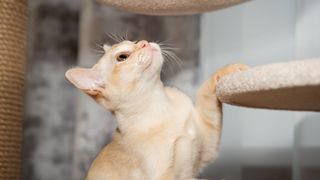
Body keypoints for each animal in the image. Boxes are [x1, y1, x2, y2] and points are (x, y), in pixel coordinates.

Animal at [65, 40, 248, 179]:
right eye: (122, 57)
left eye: (135, 41)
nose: (144, 42)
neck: (161, 105)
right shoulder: (167, 176)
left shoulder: (207, 147)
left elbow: (205, 91)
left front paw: (231, 70)